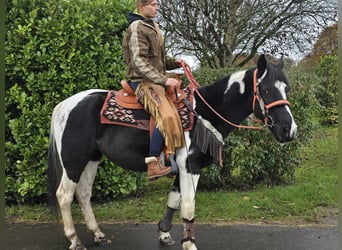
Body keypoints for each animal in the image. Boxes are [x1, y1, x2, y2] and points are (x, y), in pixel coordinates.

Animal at [47, 54, 296, 250]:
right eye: (265, 90)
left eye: (287, 89)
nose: (289, 130)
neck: (202, 113)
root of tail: (64, 106)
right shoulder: (190, 167)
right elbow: (188, 206)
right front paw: (189, 243)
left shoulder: (183, 167)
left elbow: (174, 200)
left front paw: (165, 234)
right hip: (73, 160)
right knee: (65, 195)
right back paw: (75, 240)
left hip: (92, 158)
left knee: (84, 193)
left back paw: (98, 234)